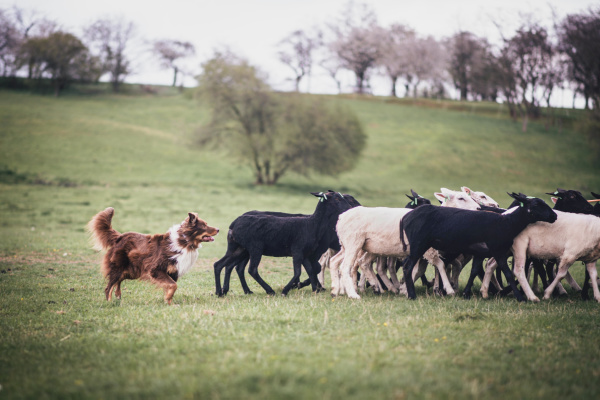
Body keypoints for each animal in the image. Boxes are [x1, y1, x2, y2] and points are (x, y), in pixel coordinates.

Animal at [88, 208, 219, 304]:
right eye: (204, 226)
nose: (218, 229)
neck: (185, 242)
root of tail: (119, 237)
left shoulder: (173, 272)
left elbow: (171, 287)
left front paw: (169, 302)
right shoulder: (155, 269)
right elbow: (173, 285)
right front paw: (168, 301)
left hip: (132, 271)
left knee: (118, 281)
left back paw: (118, 295)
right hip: (120, 267)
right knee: (109, 286)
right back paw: (110, 302)